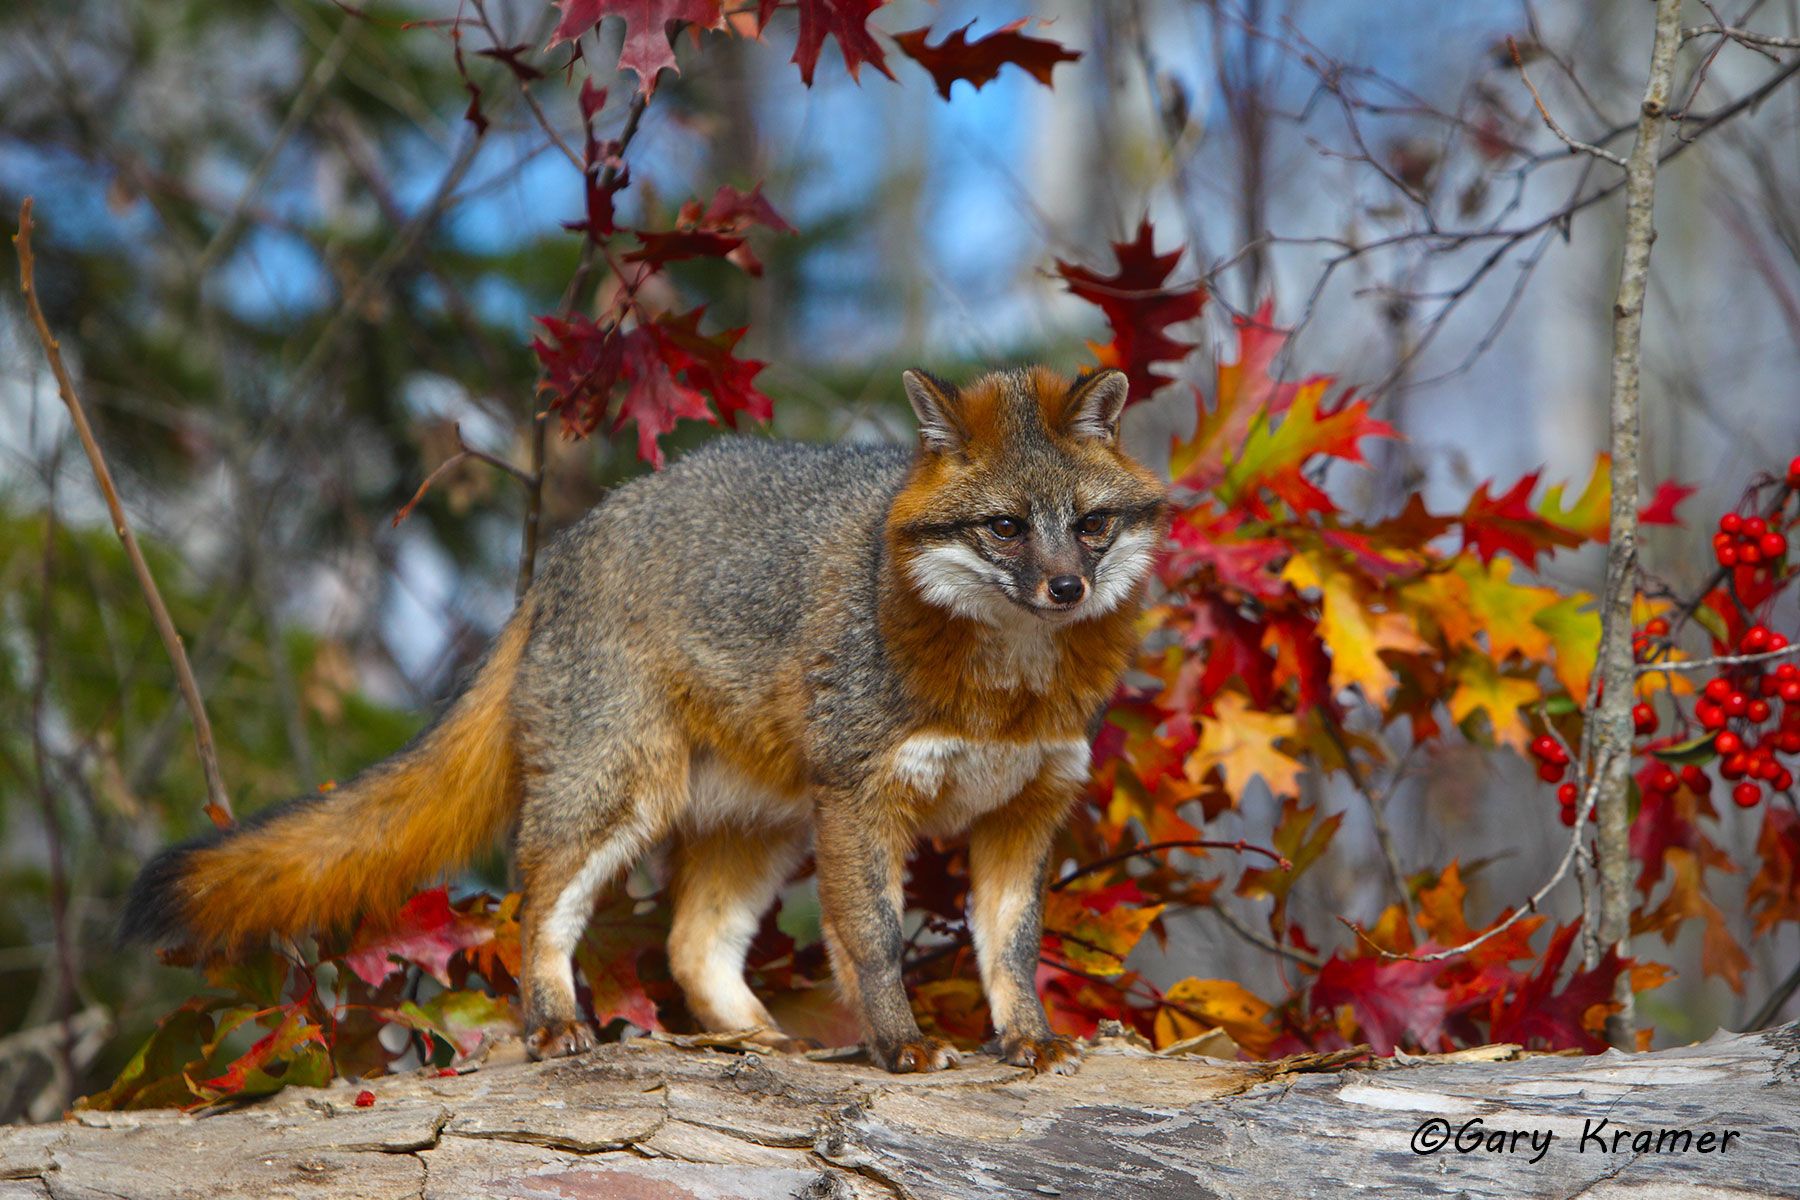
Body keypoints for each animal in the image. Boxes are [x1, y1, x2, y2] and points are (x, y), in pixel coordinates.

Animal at [123, 365, 1167, 1074]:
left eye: (1090, 525)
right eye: (1005, 528)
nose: (1067, 590)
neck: (1009, 689)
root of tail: (573, 541)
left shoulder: (1026, 809)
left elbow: (1013, 949)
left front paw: (1027, 1039)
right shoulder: (864, 798)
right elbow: (871, 939)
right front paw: (900, 1044)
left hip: (760, 830)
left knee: (688, 943)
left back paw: (758, 1040)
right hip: (618, 797)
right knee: (535, 900)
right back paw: (554, 1023)